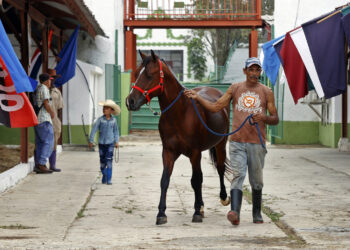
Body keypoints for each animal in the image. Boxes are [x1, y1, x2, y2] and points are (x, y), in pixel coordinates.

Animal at [127, 50, 231, 225]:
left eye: (149, 75)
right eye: (136, 73)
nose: (130, 101)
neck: (180, 113)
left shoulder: (195, 153)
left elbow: (196, 180)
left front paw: (196, 212)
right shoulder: (168, 152)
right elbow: (165, 180)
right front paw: (161, 213)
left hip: (220, 144)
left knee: (220, 168)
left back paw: (223, 198)